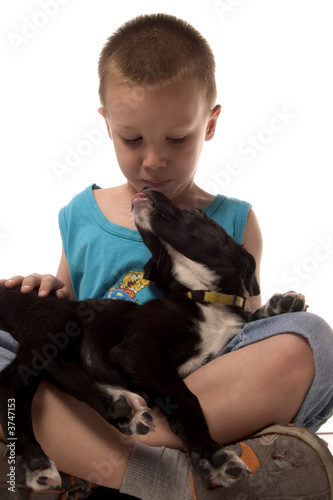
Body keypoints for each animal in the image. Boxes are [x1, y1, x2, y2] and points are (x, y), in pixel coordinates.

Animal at [0, 188, 306, 488]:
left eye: (198, 213)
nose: (146, 189)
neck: (204, 296)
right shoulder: (138, 346)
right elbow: (185, 397)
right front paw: (212, 454)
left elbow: (245, 320)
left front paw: (281, 305)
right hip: (60, 318)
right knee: (15, 379)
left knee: (46, 374)